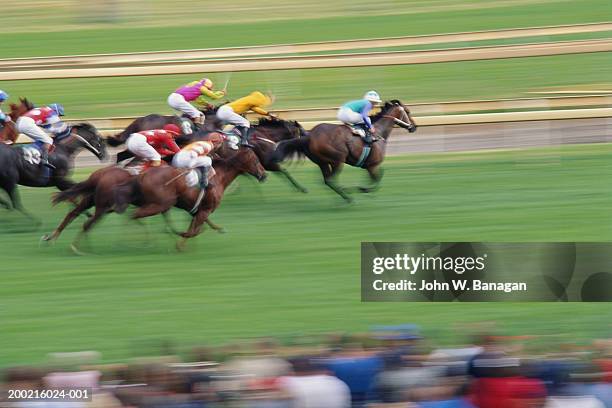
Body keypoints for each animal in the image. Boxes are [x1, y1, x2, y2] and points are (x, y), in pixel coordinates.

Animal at [272, 100, 416, 202]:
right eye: (408, 112)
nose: (414, 127)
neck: (379, 132)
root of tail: (309, 135)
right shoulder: (372, 165)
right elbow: (378, 178)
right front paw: (363, 189)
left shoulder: (368, 166)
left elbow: (377, 177)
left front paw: (363, 188)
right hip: (338, 159)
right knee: (331, 179)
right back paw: (348, 196)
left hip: (322, 162)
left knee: (327, 180)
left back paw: (344, 194)